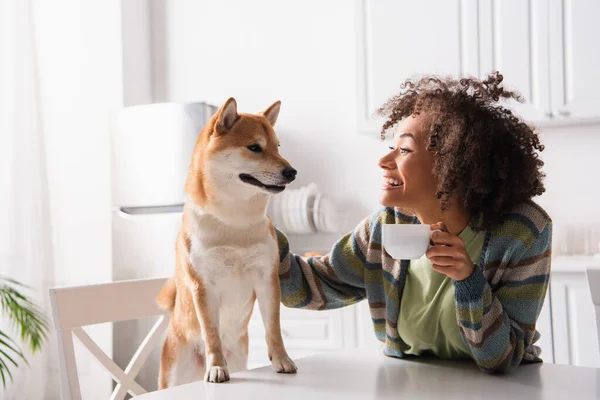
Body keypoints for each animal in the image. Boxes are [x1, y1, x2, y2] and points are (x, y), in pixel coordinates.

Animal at [157, 97, 298, 388]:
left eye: (278, 147)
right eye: (254, 147)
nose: (292, 172)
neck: (235, 221)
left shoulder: (266, 278)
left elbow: (274, 329)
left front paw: (282, 360)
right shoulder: (203, 285)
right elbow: (212, 334)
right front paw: (216, 368)